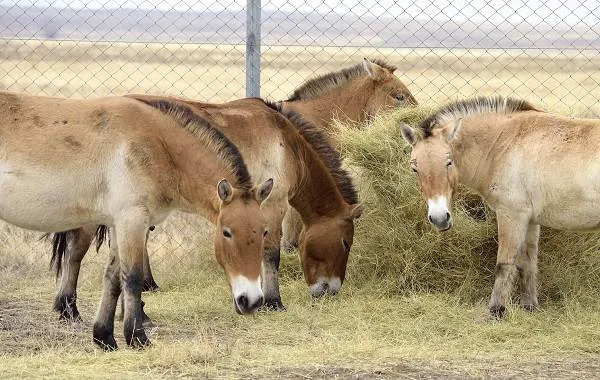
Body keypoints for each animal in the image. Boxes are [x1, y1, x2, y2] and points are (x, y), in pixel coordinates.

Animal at [0, 90, 272, 348]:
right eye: (227, 232)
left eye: (264, 231)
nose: (251, 300)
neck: (159, 146)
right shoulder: (132, 220)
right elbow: (132, 277)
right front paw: (137, 338)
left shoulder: (117, 224)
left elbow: (113, 278)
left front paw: (104, 338)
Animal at [398, 95, 600, 318]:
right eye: (415, 168)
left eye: (448, 162)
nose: (440, 218)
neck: (503, 144)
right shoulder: (530, 220)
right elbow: (527, 262)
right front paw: (529, 306)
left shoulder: (511, 216)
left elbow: (504, 263)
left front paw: (496, 310)